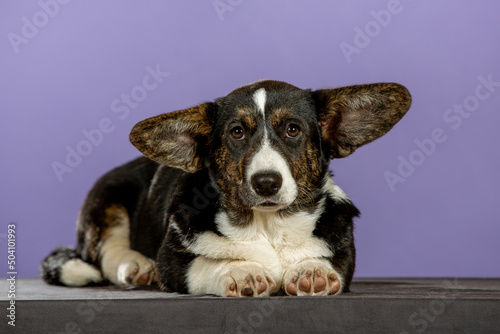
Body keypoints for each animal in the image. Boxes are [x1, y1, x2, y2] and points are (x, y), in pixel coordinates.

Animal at [42, 81, 410, 298]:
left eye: (293, 130)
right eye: (237, 132)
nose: (266, 182)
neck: (268, 225)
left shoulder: (343, 253)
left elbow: (327, 261)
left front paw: (312, 271)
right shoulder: (174, 263)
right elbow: (208, 264)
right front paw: (243, 271)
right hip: (107, 198)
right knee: (106, 251)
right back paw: (135, 266)